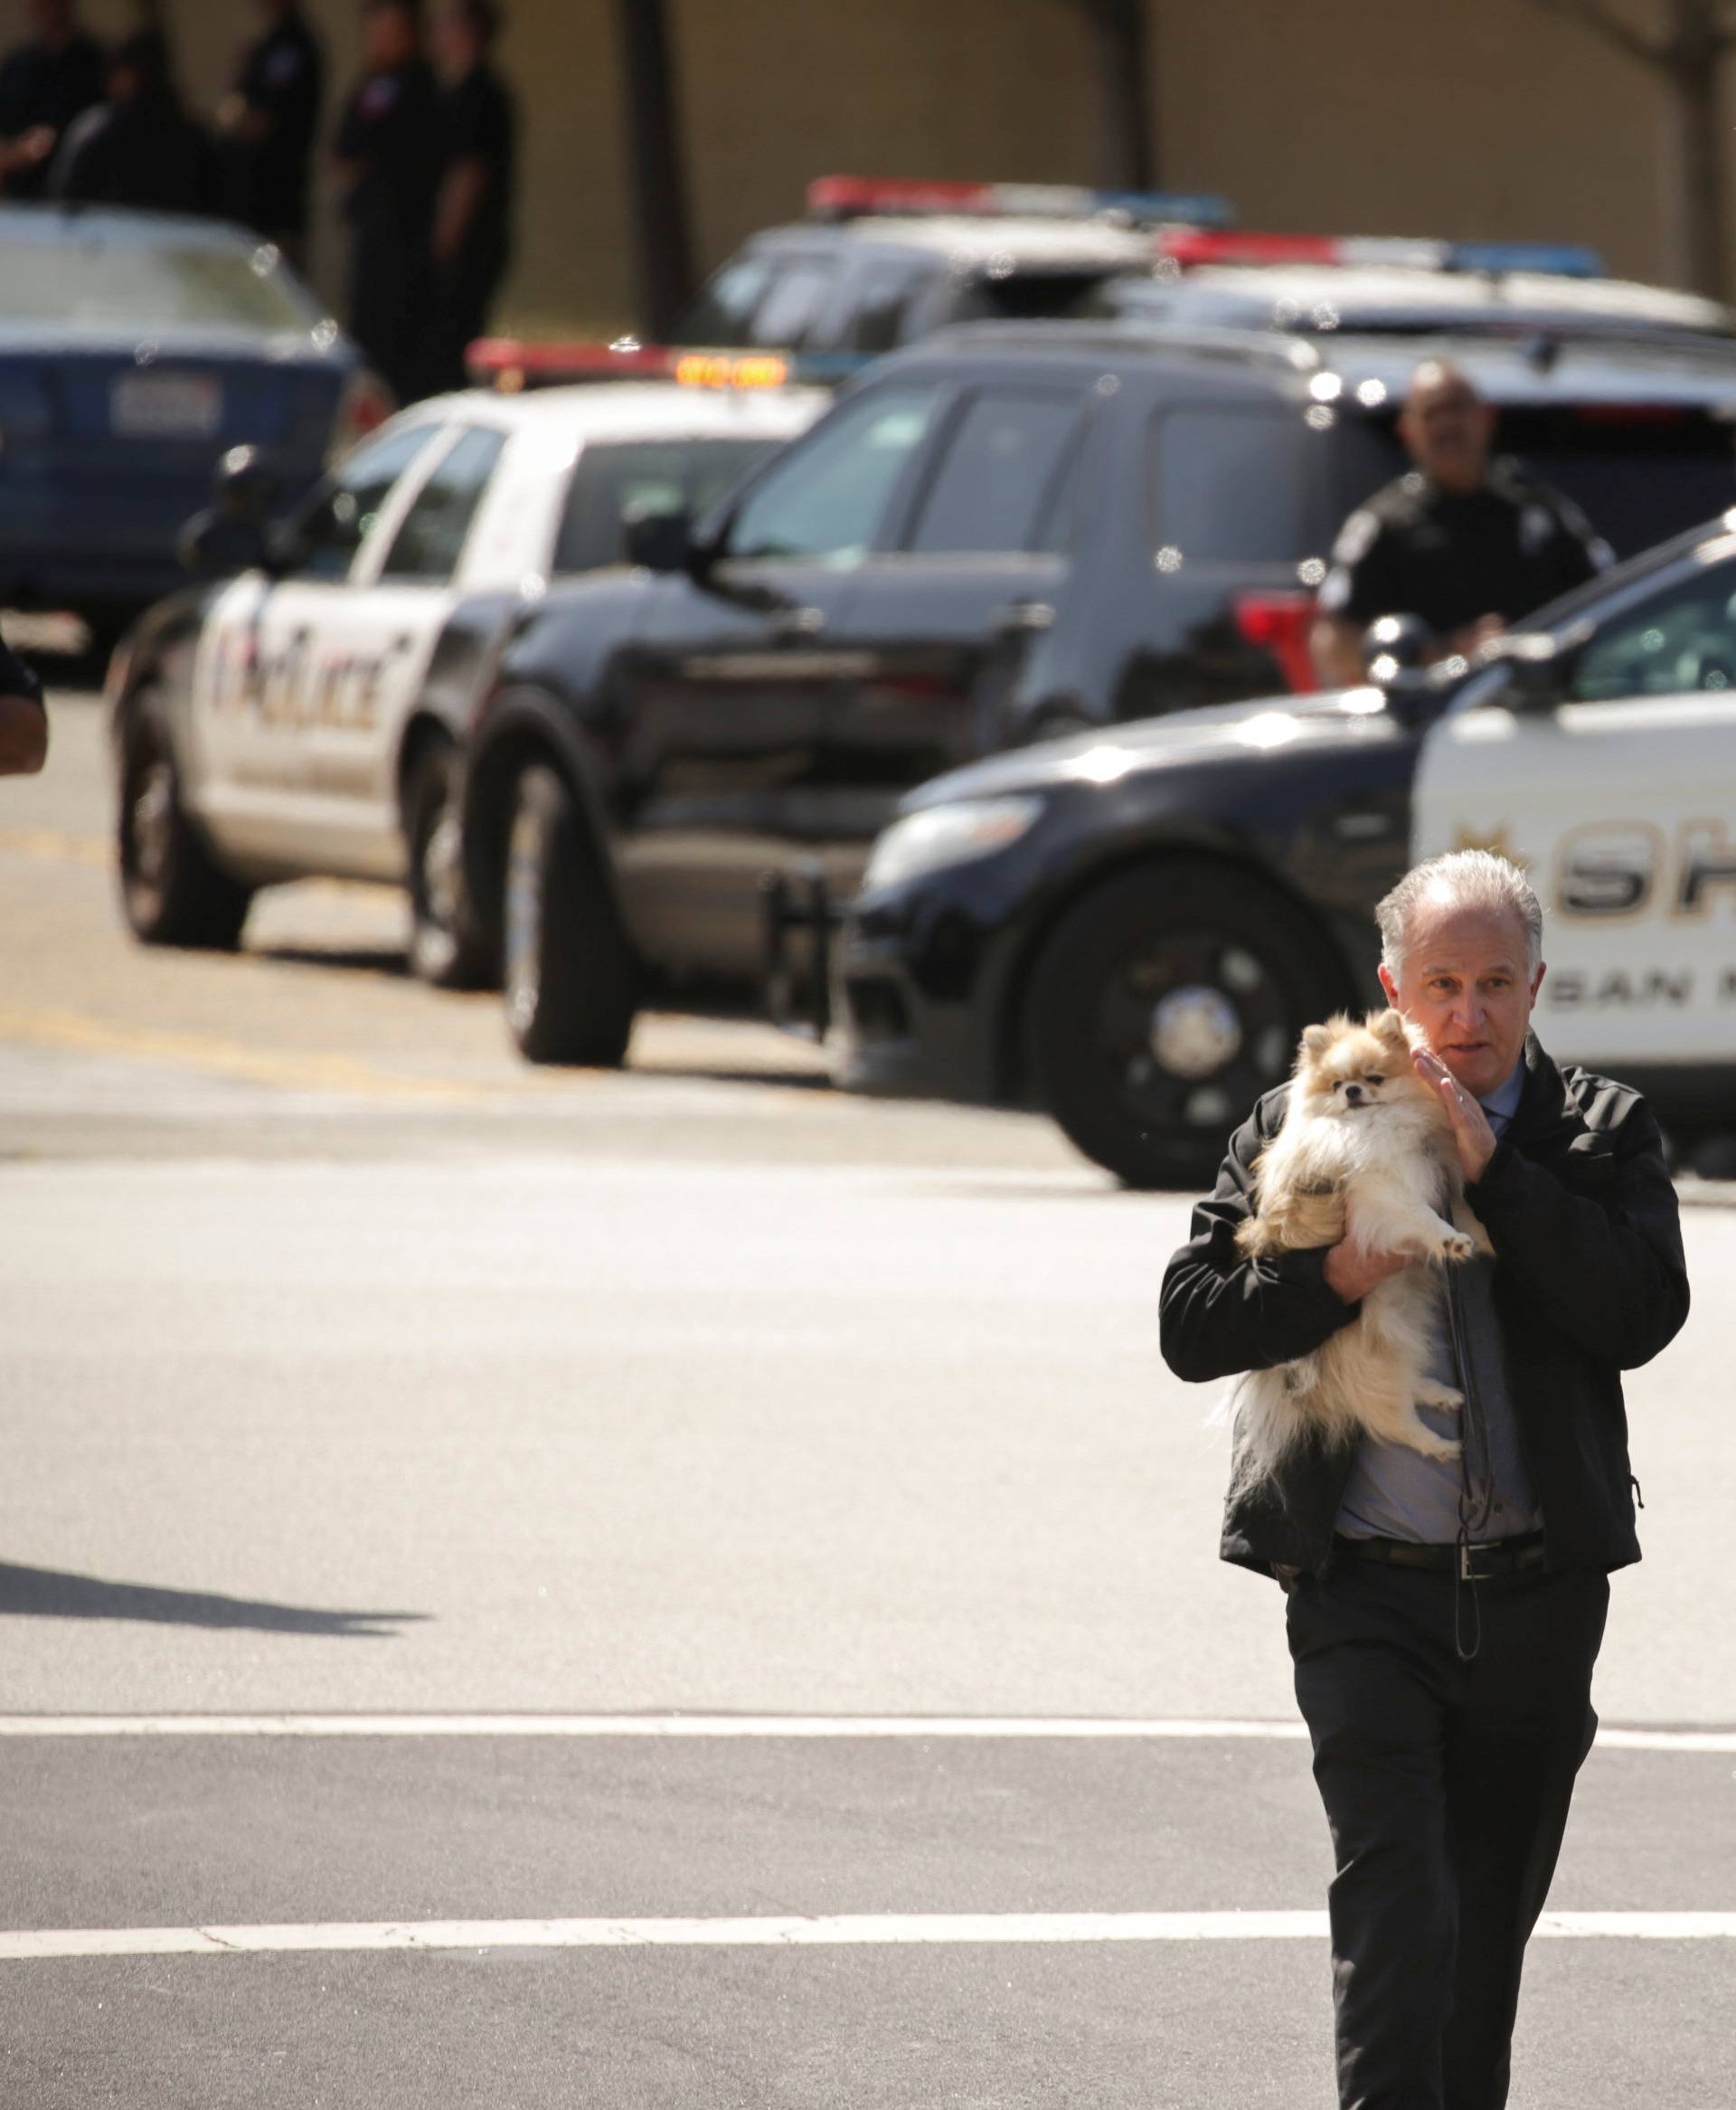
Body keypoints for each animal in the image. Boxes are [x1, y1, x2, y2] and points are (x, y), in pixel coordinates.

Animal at [1231, 1008, 1493, 1493]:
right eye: (1337, 1085)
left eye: (1374, 1078)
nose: (1352, 1091)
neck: (1374, 1125)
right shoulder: (1377, 1189)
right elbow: (1419, 1216)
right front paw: (1448, 1240)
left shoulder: (1432, 1172)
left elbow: (1464, 1210)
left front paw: (1484, 1236)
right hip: (1372, 1355)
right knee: (1392, 1414)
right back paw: (1441, 1445)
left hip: (1401, 1328)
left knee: (1408, 1379)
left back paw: (1442, 1394)